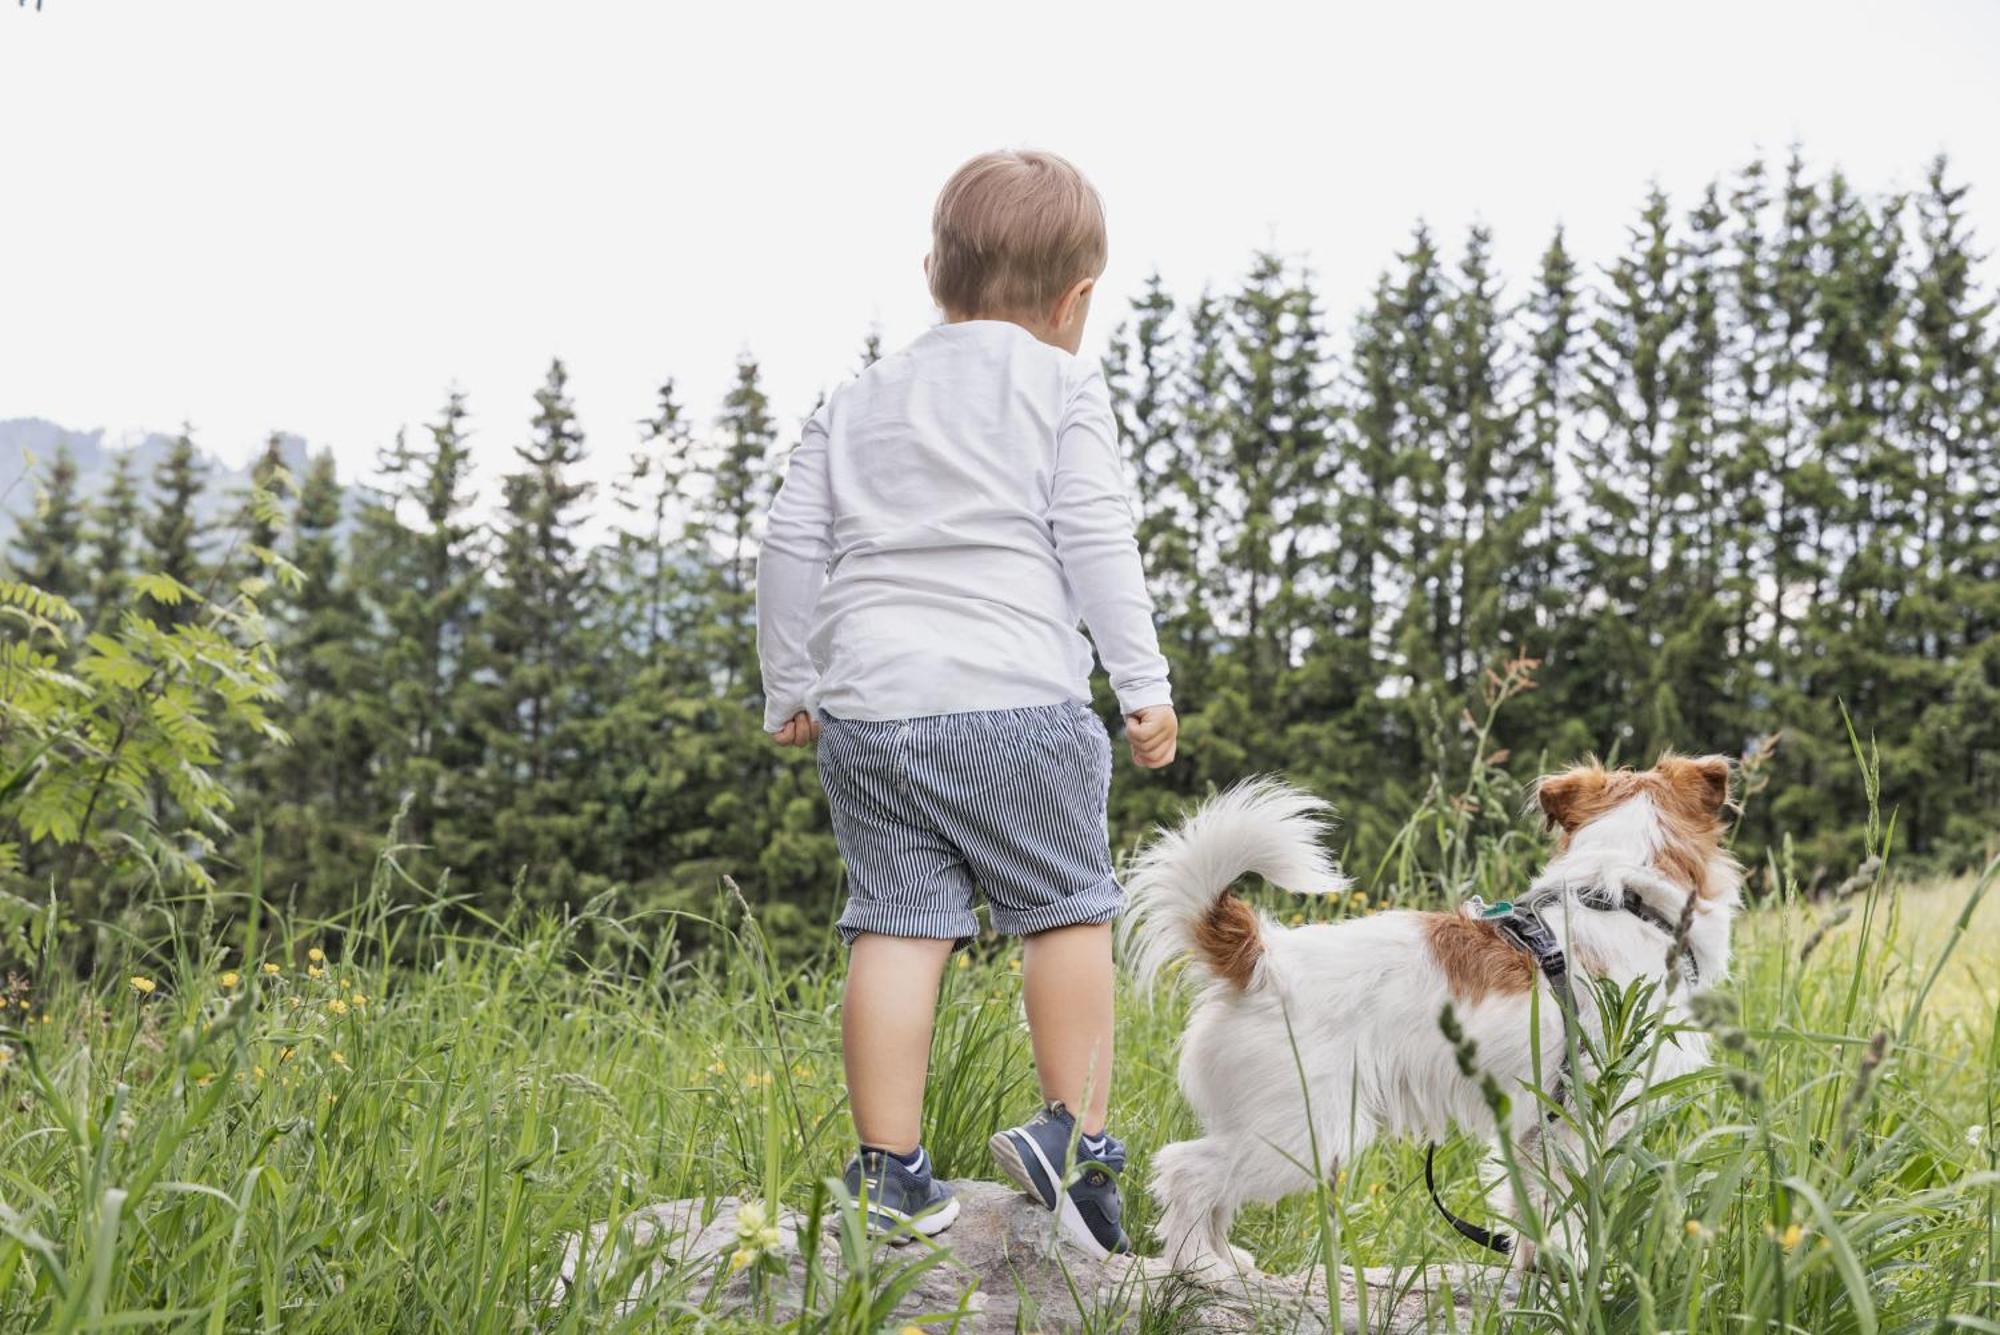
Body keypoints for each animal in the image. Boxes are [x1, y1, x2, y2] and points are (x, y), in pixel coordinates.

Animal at [1120, 755, 1744, 1279]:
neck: (1620, 898)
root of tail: (1263, 960)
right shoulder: (1581, 1117)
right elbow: (1567, 1202)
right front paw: (1574, 1268)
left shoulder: (1534, 1128)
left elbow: (1534, 1202)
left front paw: (1538, 1266)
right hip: (1304, 1133)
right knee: (1187, 1170)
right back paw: (1200, 1265)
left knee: (1212, 1183)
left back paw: (1229, 1261)